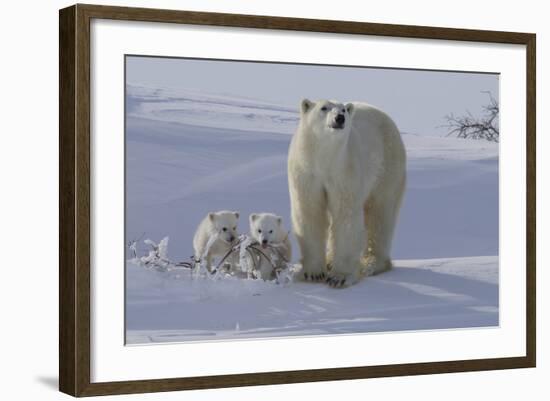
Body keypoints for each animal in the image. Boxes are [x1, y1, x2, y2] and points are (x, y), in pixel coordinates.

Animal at [286, 100, 408, 288]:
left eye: (343, 109)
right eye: (323, 108)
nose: (339, 118)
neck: (324, 159)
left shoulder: (344, 171)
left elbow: (345, 215)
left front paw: (339, 277)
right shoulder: (306, 172)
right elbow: (310, 212)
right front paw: (313, 273)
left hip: (387, 166)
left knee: (380, 213)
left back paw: (371, 263)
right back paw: (330, 260)